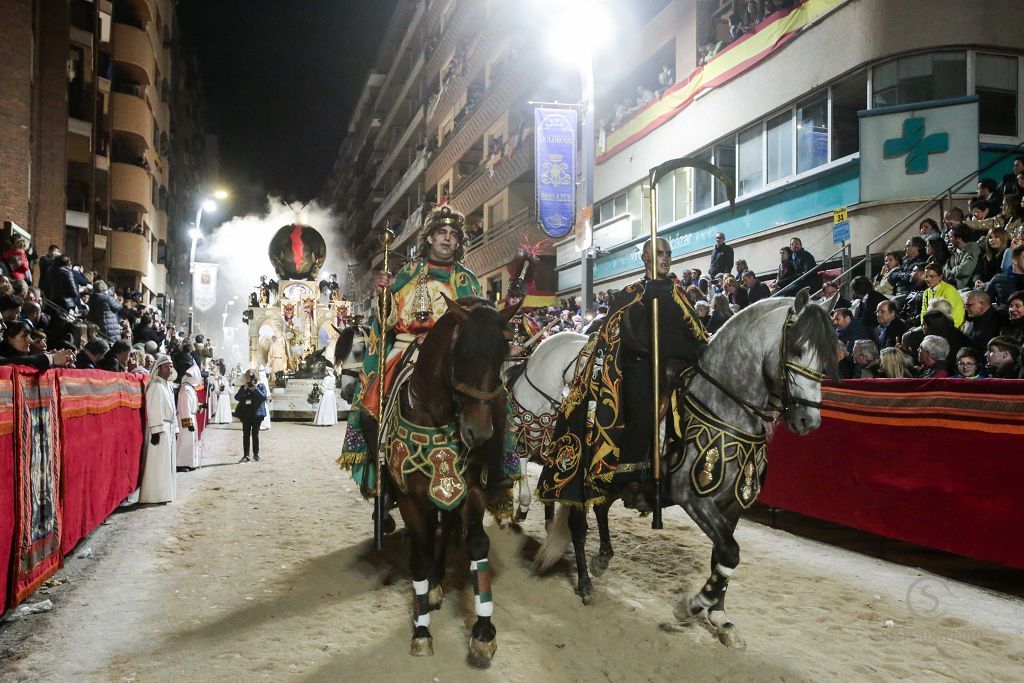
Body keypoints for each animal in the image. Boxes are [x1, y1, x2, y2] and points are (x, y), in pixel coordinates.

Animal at [362, 294, 520, 667]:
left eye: (502, 356)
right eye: (462, 356)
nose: (479, 433)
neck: (436, 414)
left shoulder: (470, 489)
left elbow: (477, 545)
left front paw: (483, 633)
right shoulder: (409, 497)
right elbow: (418, 554)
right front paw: (421, 630)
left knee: (445, 527)